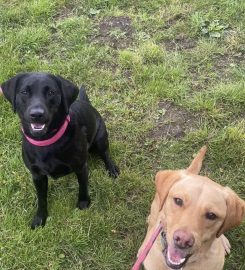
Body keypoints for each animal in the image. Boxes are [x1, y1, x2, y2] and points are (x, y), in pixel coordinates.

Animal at [1, 71, 118, 228]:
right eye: (24, 92)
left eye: (51, 92)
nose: (36, 114)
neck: (46, 141)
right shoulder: (37, 175)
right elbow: (41, 199)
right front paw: (40, 218)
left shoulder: (81, 167)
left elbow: (83, 187)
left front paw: (83, 203)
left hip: (100, 138)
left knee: (105, 153)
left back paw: (112, 169)